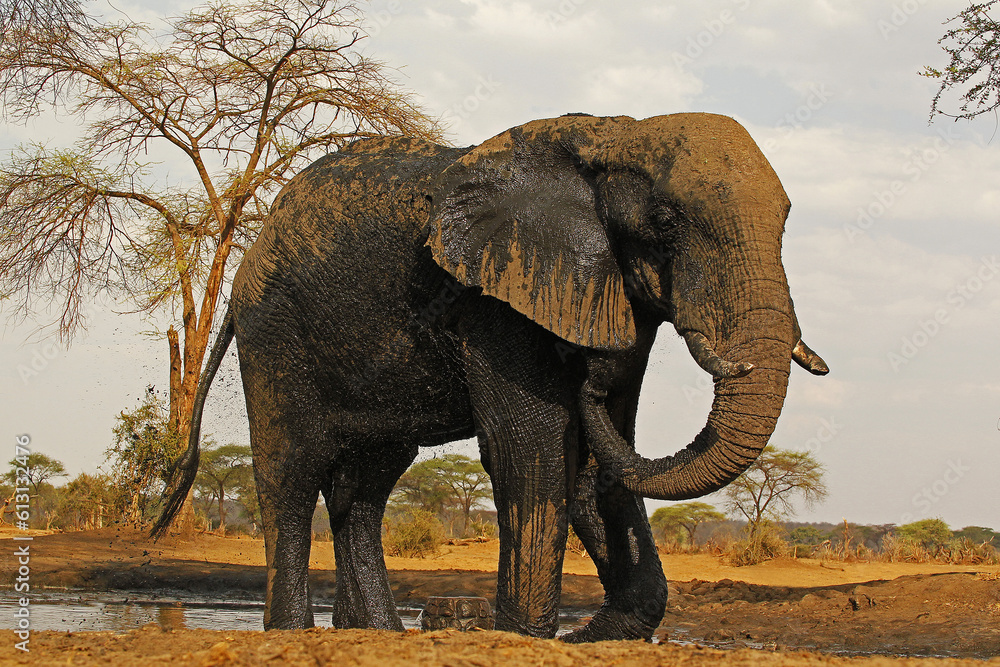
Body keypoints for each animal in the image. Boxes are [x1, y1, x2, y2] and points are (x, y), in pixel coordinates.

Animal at [152, 112, 829, 641]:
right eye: (665, 222)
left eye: (787, 224)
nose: (591, 372)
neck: (615, 133)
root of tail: (248, 256)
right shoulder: (494, 295)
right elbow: (531, 448)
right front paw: (526, 635)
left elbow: (601, 457)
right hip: (276, 331)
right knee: (292, 471)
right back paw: (292, 633)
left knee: (366, 485)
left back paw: (380, 634)